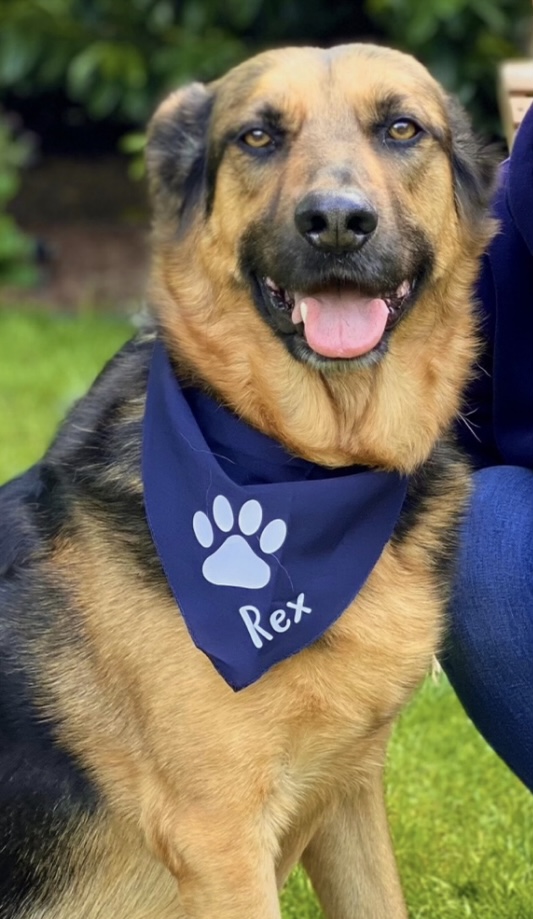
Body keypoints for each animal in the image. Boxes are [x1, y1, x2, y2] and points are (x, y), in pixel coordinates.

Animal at [0, 43, 494, 919]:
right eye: (258, 137)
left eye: (401, 128)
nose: (336, 223)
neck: (310, 470)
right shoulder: (219, 838)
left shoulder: (347, 789)